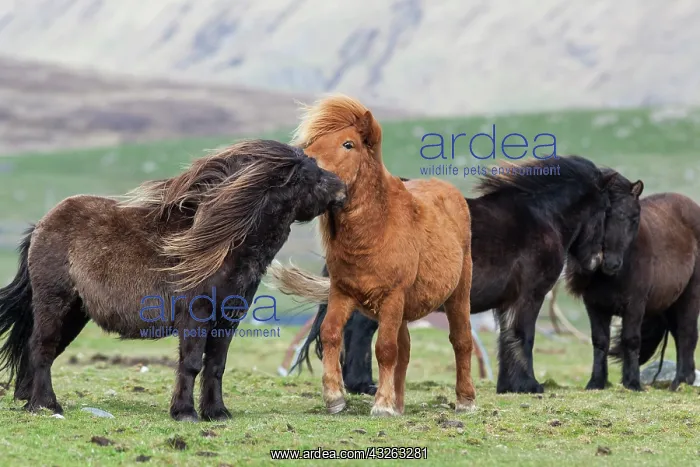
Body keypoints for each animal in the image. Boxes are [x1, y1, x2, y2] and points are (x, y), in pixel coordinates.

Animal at [0, 139, 347, 421]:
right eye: (311, 174)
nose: (344, 190)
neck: (223, 245)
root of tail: (42, 224)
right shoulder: (196, 316)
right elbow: (192, 363)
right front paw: (184, 413)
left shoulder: (227, 320)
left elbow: (216, 366)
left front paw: (216, 413)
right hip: (54, 303)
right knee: (42, 348)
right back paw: (46, 406)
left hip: (75, 313)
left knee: (43, 351)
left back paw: (31, 401)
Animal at [267, 94, 476, 417]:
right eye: (311, 144)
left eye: (348, 144)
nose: (308, 176)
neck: (376, 231)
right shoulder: (341, 293)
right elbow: (331, 334)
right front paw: (335, 398)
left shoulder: (391, 297)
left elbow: (385, 349)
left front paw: (382, 406)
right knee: (405, 348)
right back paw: (399, 403)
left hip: (457, 293)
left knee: (460, 340)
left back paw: (465, 400)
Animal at [290, 158, 626, 395]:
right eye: (606, 211)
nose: (601, 262)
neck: (542, 217)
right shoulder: (529, 296)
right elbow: (524, 336)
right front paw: (530, 386)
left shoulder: (507, 301)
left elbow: (507, 338)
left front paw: (510, 386)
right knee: (359, 331)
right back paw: (363, 385)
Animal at [566, 173, 700, 391]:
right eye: (604, 215)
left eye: (634, 218)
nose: (611, 263)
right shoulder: (594, 306)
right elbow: (600, 341)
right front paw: (596, 382)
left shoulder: (634, 304)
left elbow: (631, 340)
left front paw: (633, 383)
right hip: (669, 303)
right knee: (678, 335)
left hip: (690, 296)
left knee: (687, 333)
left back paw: (679, 382)